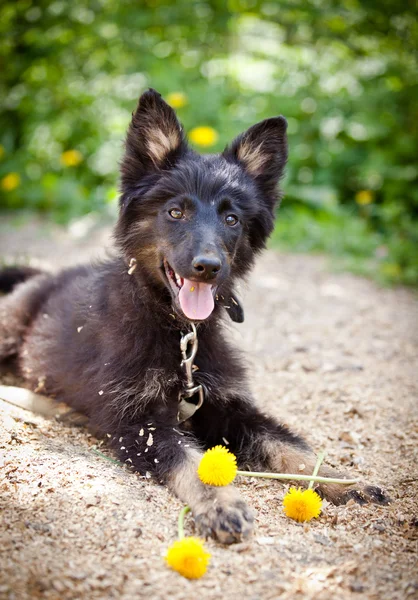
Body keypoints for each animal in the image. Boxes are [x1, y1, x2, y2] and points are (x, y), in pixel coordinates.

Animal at [0, 90, 388, 544]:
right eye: (175, 212)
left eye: (231, 218)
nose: (208, 267)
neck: (180, 333)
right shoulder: (140, 423)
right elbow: (193, 463)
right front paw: (221, 504)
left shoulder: (228, 409)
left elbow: (294, 448)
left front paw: (344, 481)